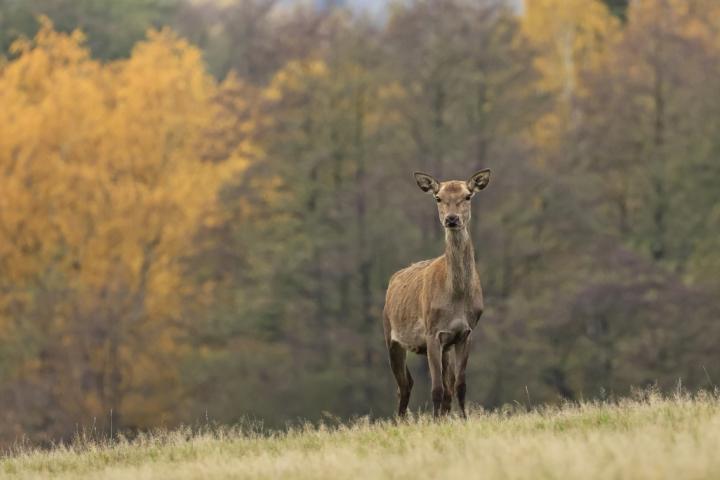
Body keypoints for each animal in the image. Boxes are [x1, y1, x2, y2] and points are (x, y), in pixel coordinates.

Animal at [382, 171, 490, 418]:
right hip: (390, 336)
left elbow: (459, 385)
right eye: (438, 198)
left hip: (445, 347)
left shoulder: (465, 332)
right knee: (404, 385)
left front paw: (464, 419)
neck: (456, 298)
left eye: (468, 196)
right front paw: (434, 420)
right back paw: (400, 421)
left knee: (439, 385)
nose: (451, 219)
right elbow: (436, 388)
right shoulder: (432, 332)